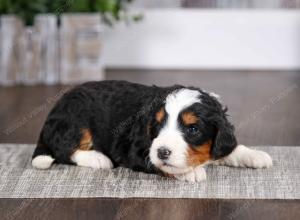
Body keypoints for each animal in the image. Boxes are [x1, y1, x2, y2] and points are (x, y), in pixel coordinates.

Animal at [31, 81, 274, 182]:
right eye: (157, 126)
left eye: (193, 129)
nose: (163, 151)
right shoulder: (133, 149)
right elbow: (158, 164)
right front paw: (190, 172)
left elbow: (229, 148)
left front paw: (255, 155)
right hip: (75, 120)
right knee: (63, 149)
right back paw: (97, 158)